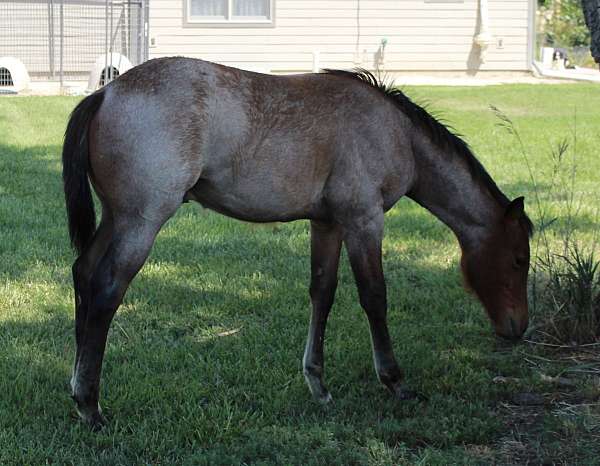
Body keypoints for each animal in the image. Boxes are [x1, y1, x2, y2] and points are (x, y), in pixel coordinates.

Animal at [61, 58, 532, 430]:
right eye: (518, 260)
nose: (517, 328)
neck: (395, 131)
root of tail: (105, 92)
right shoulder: (364, 220)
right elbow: (374, 297)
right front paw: (394, 380)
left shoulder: (327, 224)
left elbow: (322, 293)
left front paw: (318, 384)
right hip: (141, 221)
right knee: (106, 290)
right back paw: (90, 405)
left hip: (116, 218)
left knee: (83, 274)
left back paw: (77, 386)